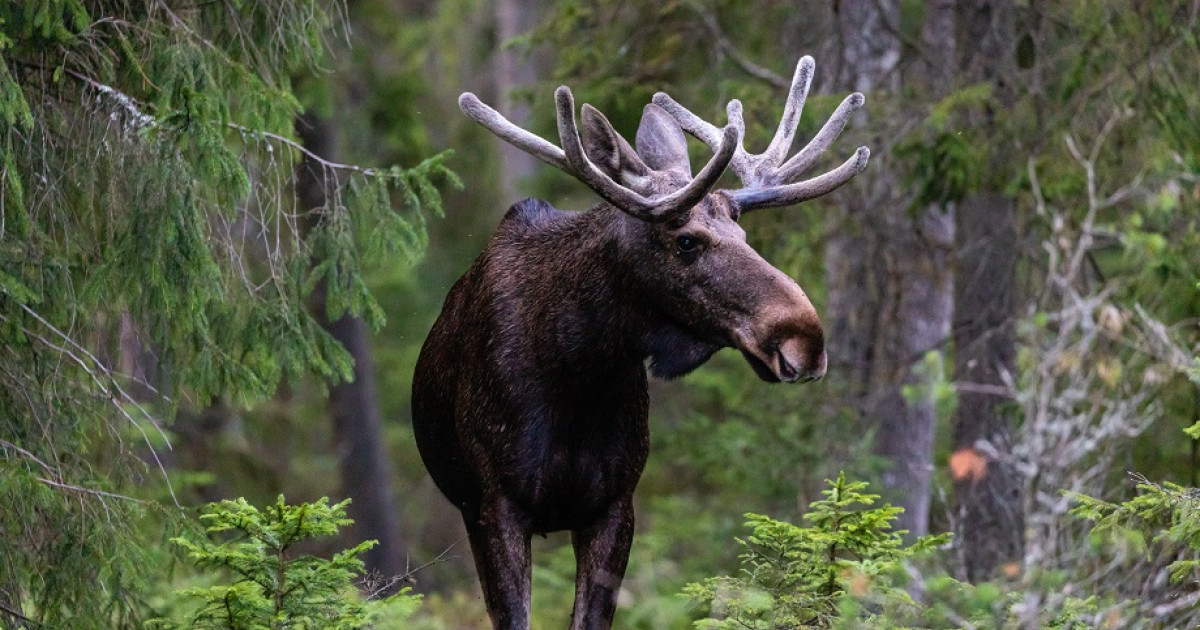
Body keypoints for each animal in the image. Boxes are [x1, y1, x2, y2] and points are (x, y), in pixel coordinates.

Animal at [415, 55, 873, 628]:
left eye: (744, 237)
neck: (578, 371)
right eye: (686, 241)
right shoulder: (496, 505)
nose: (804, 338)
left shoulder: (616, 504)